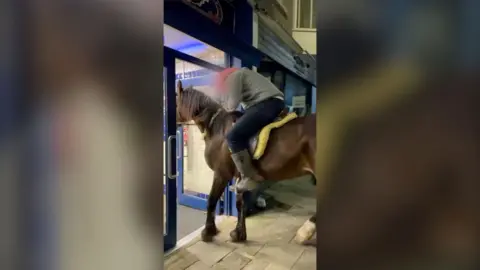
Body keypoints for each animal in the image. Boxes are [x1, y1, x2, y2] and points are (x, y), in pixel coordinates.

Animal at [176, 80, 318, 243]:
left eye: (174, 99)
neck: (217, 128)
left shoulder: (221, 174)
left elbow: (212, 199)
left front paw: (208, 231)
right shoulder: (240, 176)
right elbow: (240, 203)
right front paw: (239, 233)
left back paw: (305, 231)